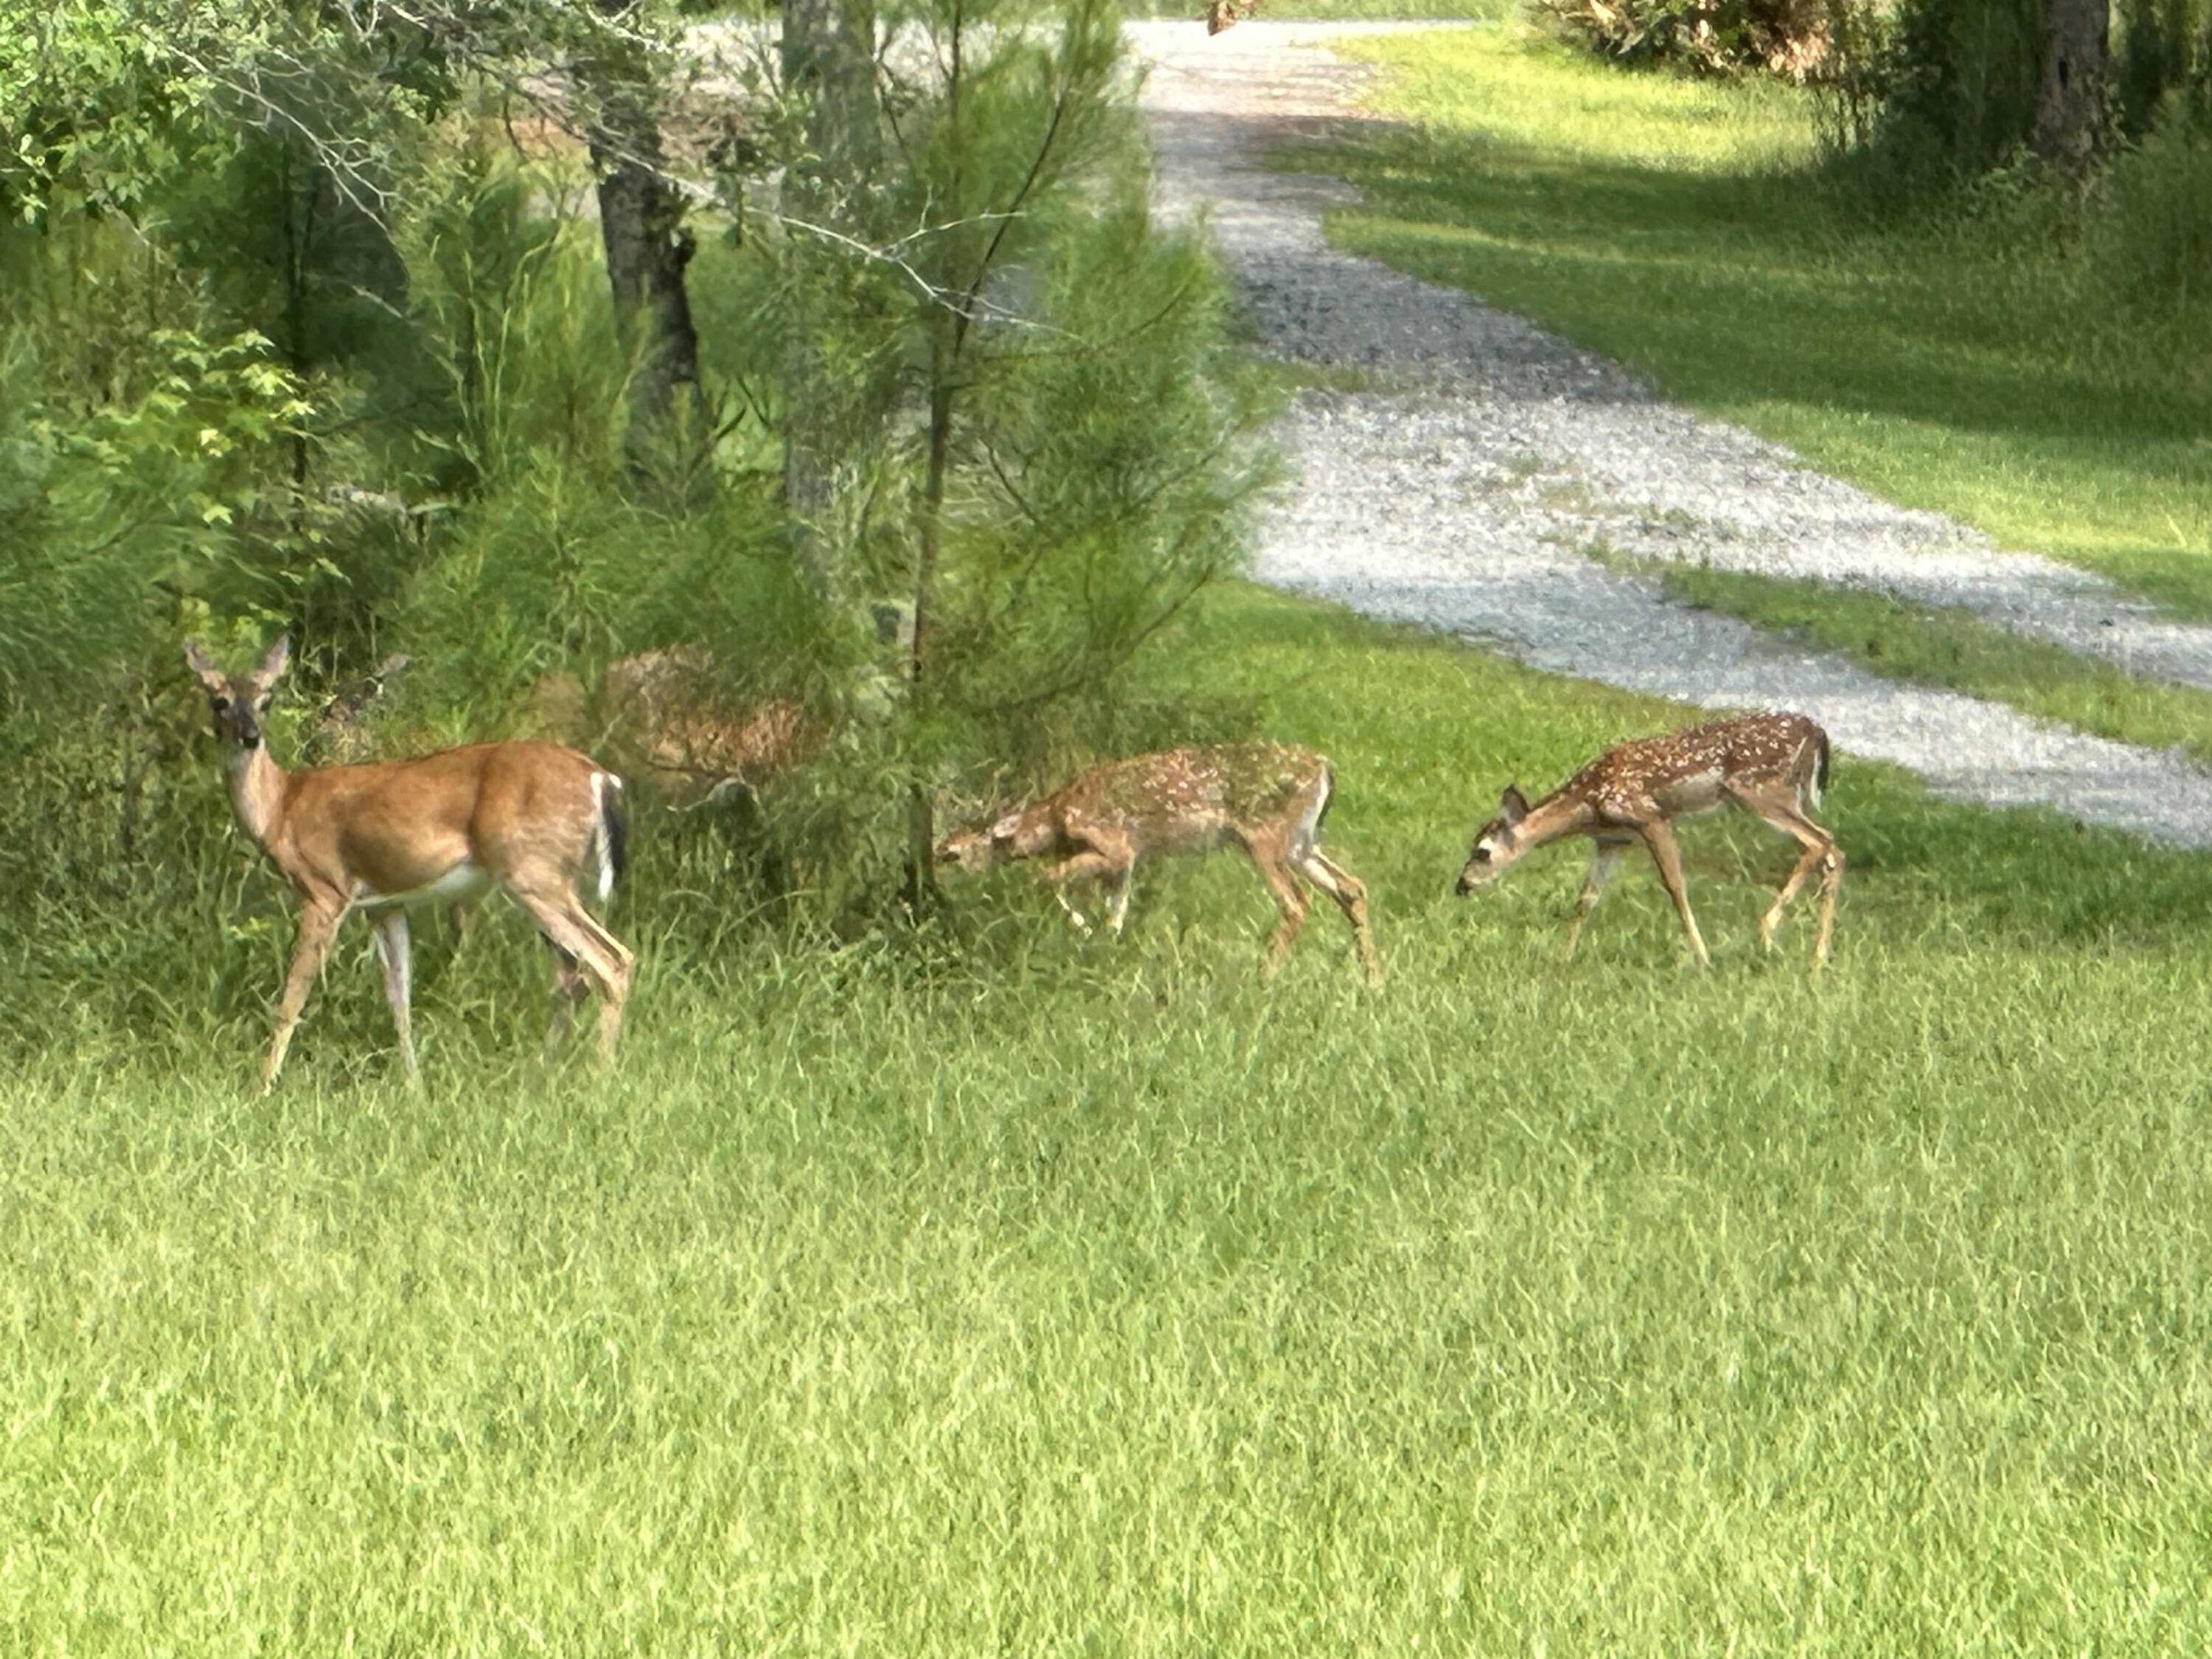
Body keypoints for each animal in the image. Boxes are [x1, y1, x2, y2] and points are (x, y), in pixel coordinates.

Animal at [184, 636, 636, 1089]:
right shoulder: (386, 904)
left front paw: (261, 1086)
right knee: (573, 973)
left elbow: (292, 998)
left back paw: (601, 1077)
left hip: (532, 874)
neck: (280, 809)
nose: (250, 736)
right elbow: (399, 995)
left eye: (267, 699)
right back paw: (544, 1072)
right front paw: (413, 1084)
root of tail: (601, 778)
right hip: (555, 877)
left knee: (612, 962)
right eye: (220, 701)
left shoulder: (325, 890)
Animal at [936, 742, 1383, 987]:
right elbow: (1116, 913)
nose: (935, 859)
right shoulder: (1127, 862)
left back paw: (1263, 979)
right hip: (1300, 843)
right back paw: (1373, 983)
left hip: (1264, 836)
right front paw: (1104, 953)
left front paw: (1082, 930)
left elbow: (1046, 880)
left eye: (953, 852)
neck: (1057, 819)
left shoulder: (1115, 847)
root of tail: (1325, 768)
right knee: (1352, 887)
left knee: (1296, 902)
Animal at [1455, 711, 1842, 967]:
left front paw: (1703, 959)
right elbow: (1586, 900)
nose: (1461, 886)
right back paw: (1818, 958)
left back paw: (1767, 931)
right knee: (1831, 849)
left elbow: (1675, 885)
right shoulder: (1612, 842)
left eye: (1482, 852)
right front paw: (1562, 959)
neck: (1587, 804)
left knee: (1820, 842)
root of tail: (1816, 730)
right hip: (1787, 796)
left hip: (1760, 790)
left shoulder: (1649, 817)